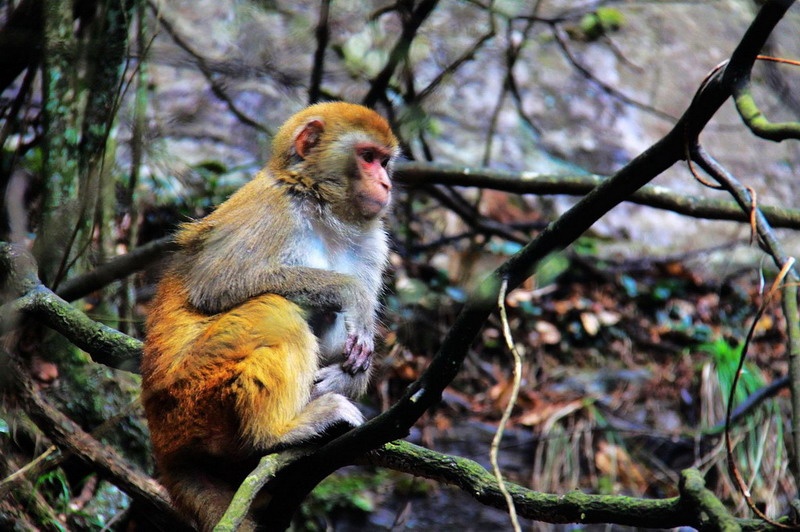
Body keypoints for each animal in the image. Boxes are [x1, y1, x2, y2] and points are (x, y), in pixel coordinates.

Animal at [141, 102, 400, 528]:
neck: (320, 207)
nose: (386, 184)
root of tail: (164, 445)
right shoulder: (273, 210)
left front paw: (344, 377)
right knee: (274, 309)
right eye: (367, 157)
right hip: (191, 398)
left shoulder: (372, 243)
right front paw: (352, 293)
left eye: (384, 161)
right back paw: (274, 433)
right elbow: (214, 284)